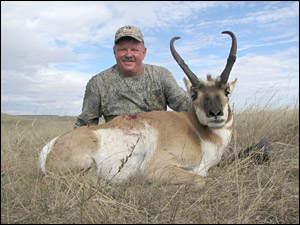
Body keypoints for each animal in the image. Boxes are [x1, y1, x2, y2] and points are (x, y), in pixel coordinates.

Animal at [38, 30, 238, 187]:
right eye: (194, 94)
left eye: (226, 91)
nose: (215, 114)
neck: (195, 129)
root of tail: (50, 146)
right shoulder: (155, 168)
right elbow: (200, 180)